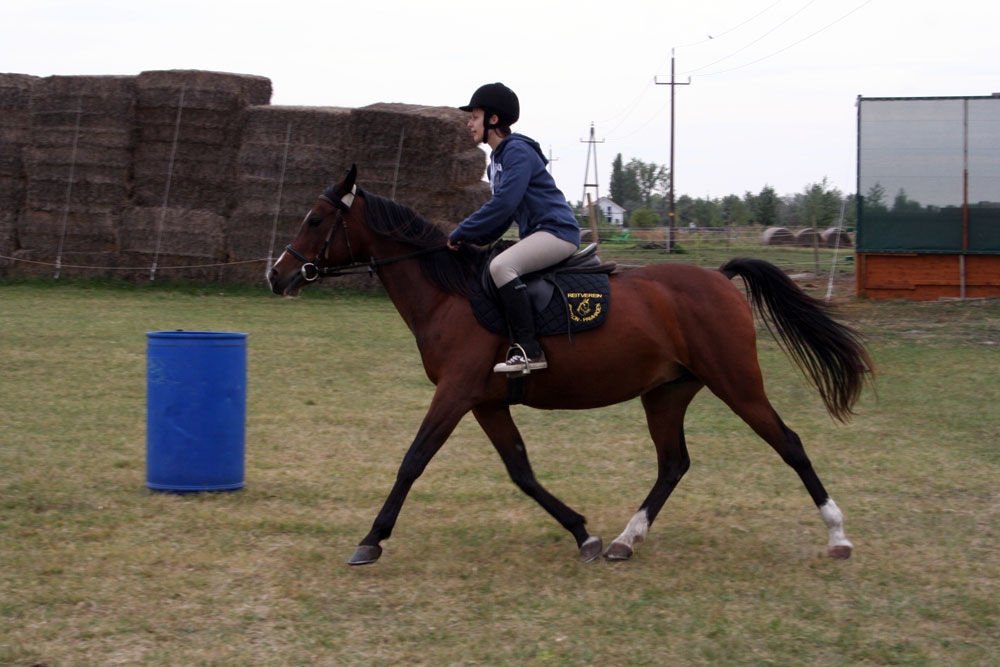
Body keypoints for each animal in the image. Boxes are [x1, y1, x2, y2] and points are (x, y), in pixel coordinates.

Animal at [270, 164, 872, 568]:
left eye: (315, 219)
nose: (277, 276)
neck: (449, 296)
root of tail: (720, 278)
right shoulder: (484, 402)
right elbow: (521, 471)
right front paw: (582, 532)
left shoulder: (455, 394)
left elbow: (412, 461)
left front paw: (371, 539)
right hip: (667, 392)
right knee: (673, 464)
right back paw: (626, 540)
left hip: (737, 383)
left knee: (789, 443)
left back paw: (838, 536)